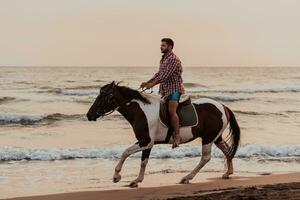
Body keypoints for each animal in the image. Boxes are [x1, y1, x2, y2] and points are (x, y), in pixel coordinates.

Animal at [85, 81, 240, 188]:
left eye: (103, 96)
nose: (89, 115)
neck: (141, 111)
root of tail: (223, 107)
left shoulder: (146, 141)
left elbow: (125, 152)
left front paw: (117, 176)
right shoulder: (148, 143)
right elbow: (144, 161)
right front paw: (136, 180)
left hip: (208, 138)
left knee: (206, 158)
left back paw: (187, 178)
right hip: (216, 137)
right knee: (227, 150)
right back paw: (227, 173)